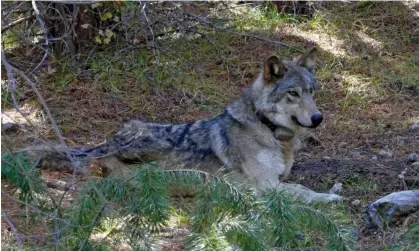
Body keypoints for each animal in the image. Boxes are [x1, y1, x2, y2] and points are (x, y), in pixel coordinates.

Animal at [33, 47, 342, 204]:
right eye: (293, 94)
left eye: (311, 91)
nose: (318, 118)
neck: (268, 128)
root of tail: (109, 141)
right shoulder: (266, 185)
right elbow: (304, 192)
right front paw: (328, 197)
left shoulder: (277, 178)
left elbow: (299, 185)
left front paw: (334, 189)